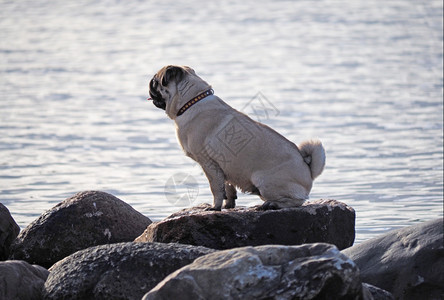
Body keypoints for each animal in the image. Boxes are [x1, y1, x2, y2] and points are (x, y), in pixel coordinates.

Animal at [149, 65, 326, 211]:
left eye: (155, 82)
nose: (150, 83)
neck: (191, 101)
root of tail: (308, 168)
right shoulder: (223, 166)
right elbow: (228, 188)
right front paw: (228, 205)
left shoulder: (209, 164)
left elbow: (216, 189)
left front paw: (215, 208)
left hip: (263, 181)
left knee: (297, 201)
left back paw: (272, 205)